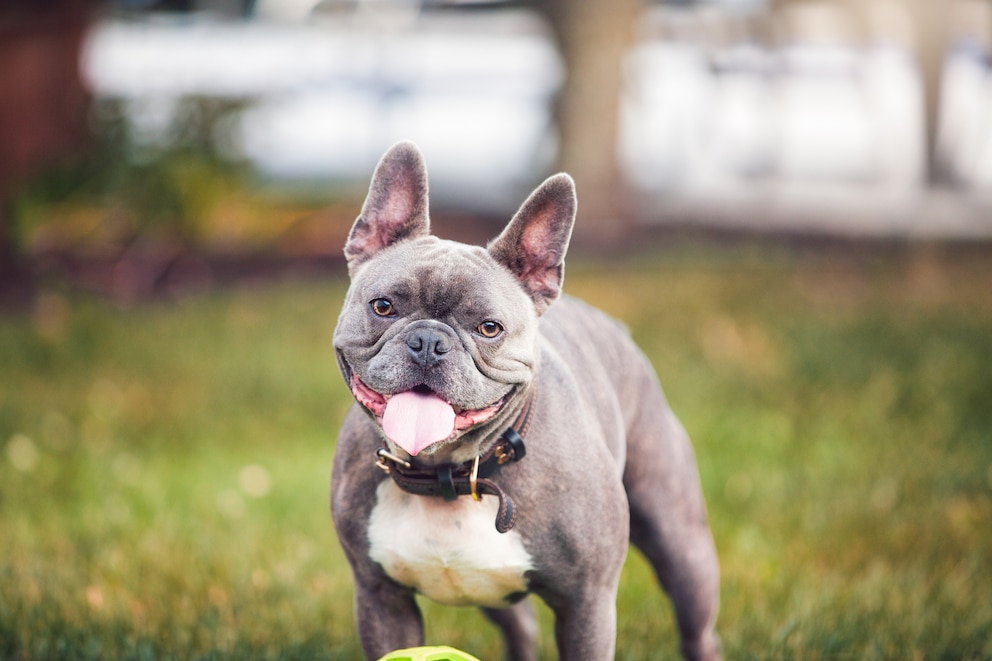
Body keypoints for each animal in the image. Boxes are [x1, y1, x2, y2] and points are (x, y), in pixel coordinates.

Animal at [334, 142, 720, 656]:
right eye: (383, 307)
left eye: (489, 328)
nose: (429, 342)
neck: (451, 475)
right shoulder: (381, 599)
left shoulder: (587, 603)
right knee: (520, 628)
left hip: (679, 540)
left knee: (696, 624)